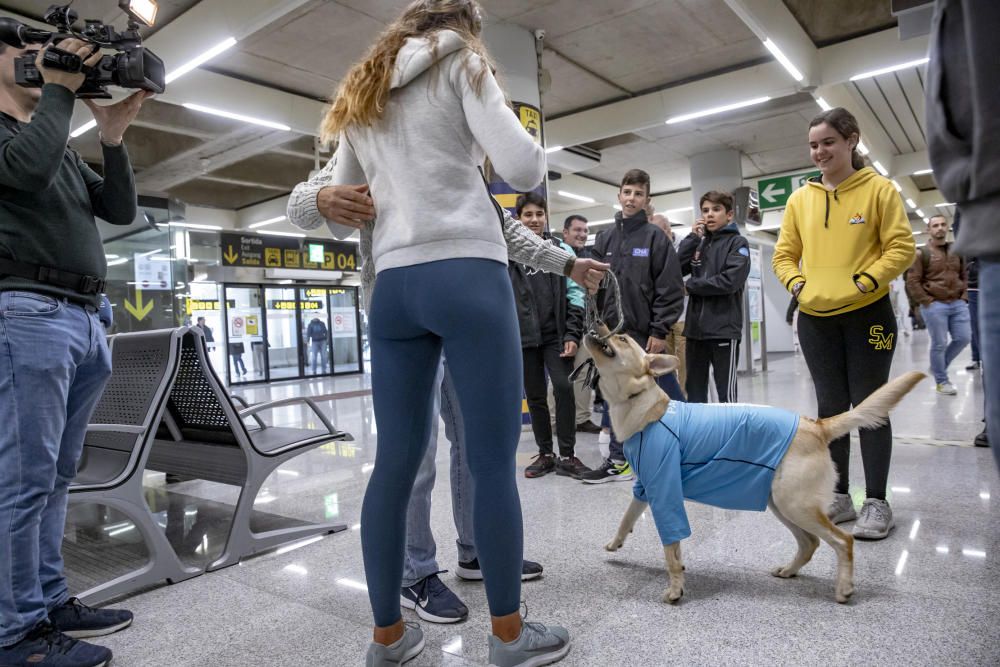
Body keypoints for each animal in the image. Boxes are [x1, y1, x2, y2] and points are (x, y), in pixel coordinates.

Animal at [584, 324, 920, 604]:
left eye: (622, 338)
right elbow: (626, 519)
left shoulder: (665, 492)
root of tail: (816, 424)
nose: (595, 324)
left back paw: (844, 587)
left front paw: (676, 587)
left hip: (794, 504)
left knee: (843, 540)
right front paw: (615, 544)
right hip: (781, 504)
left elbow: (671, 547)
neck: (644, 407)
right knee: (810, 542)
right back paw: (789, 570)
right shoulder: (645, 487)